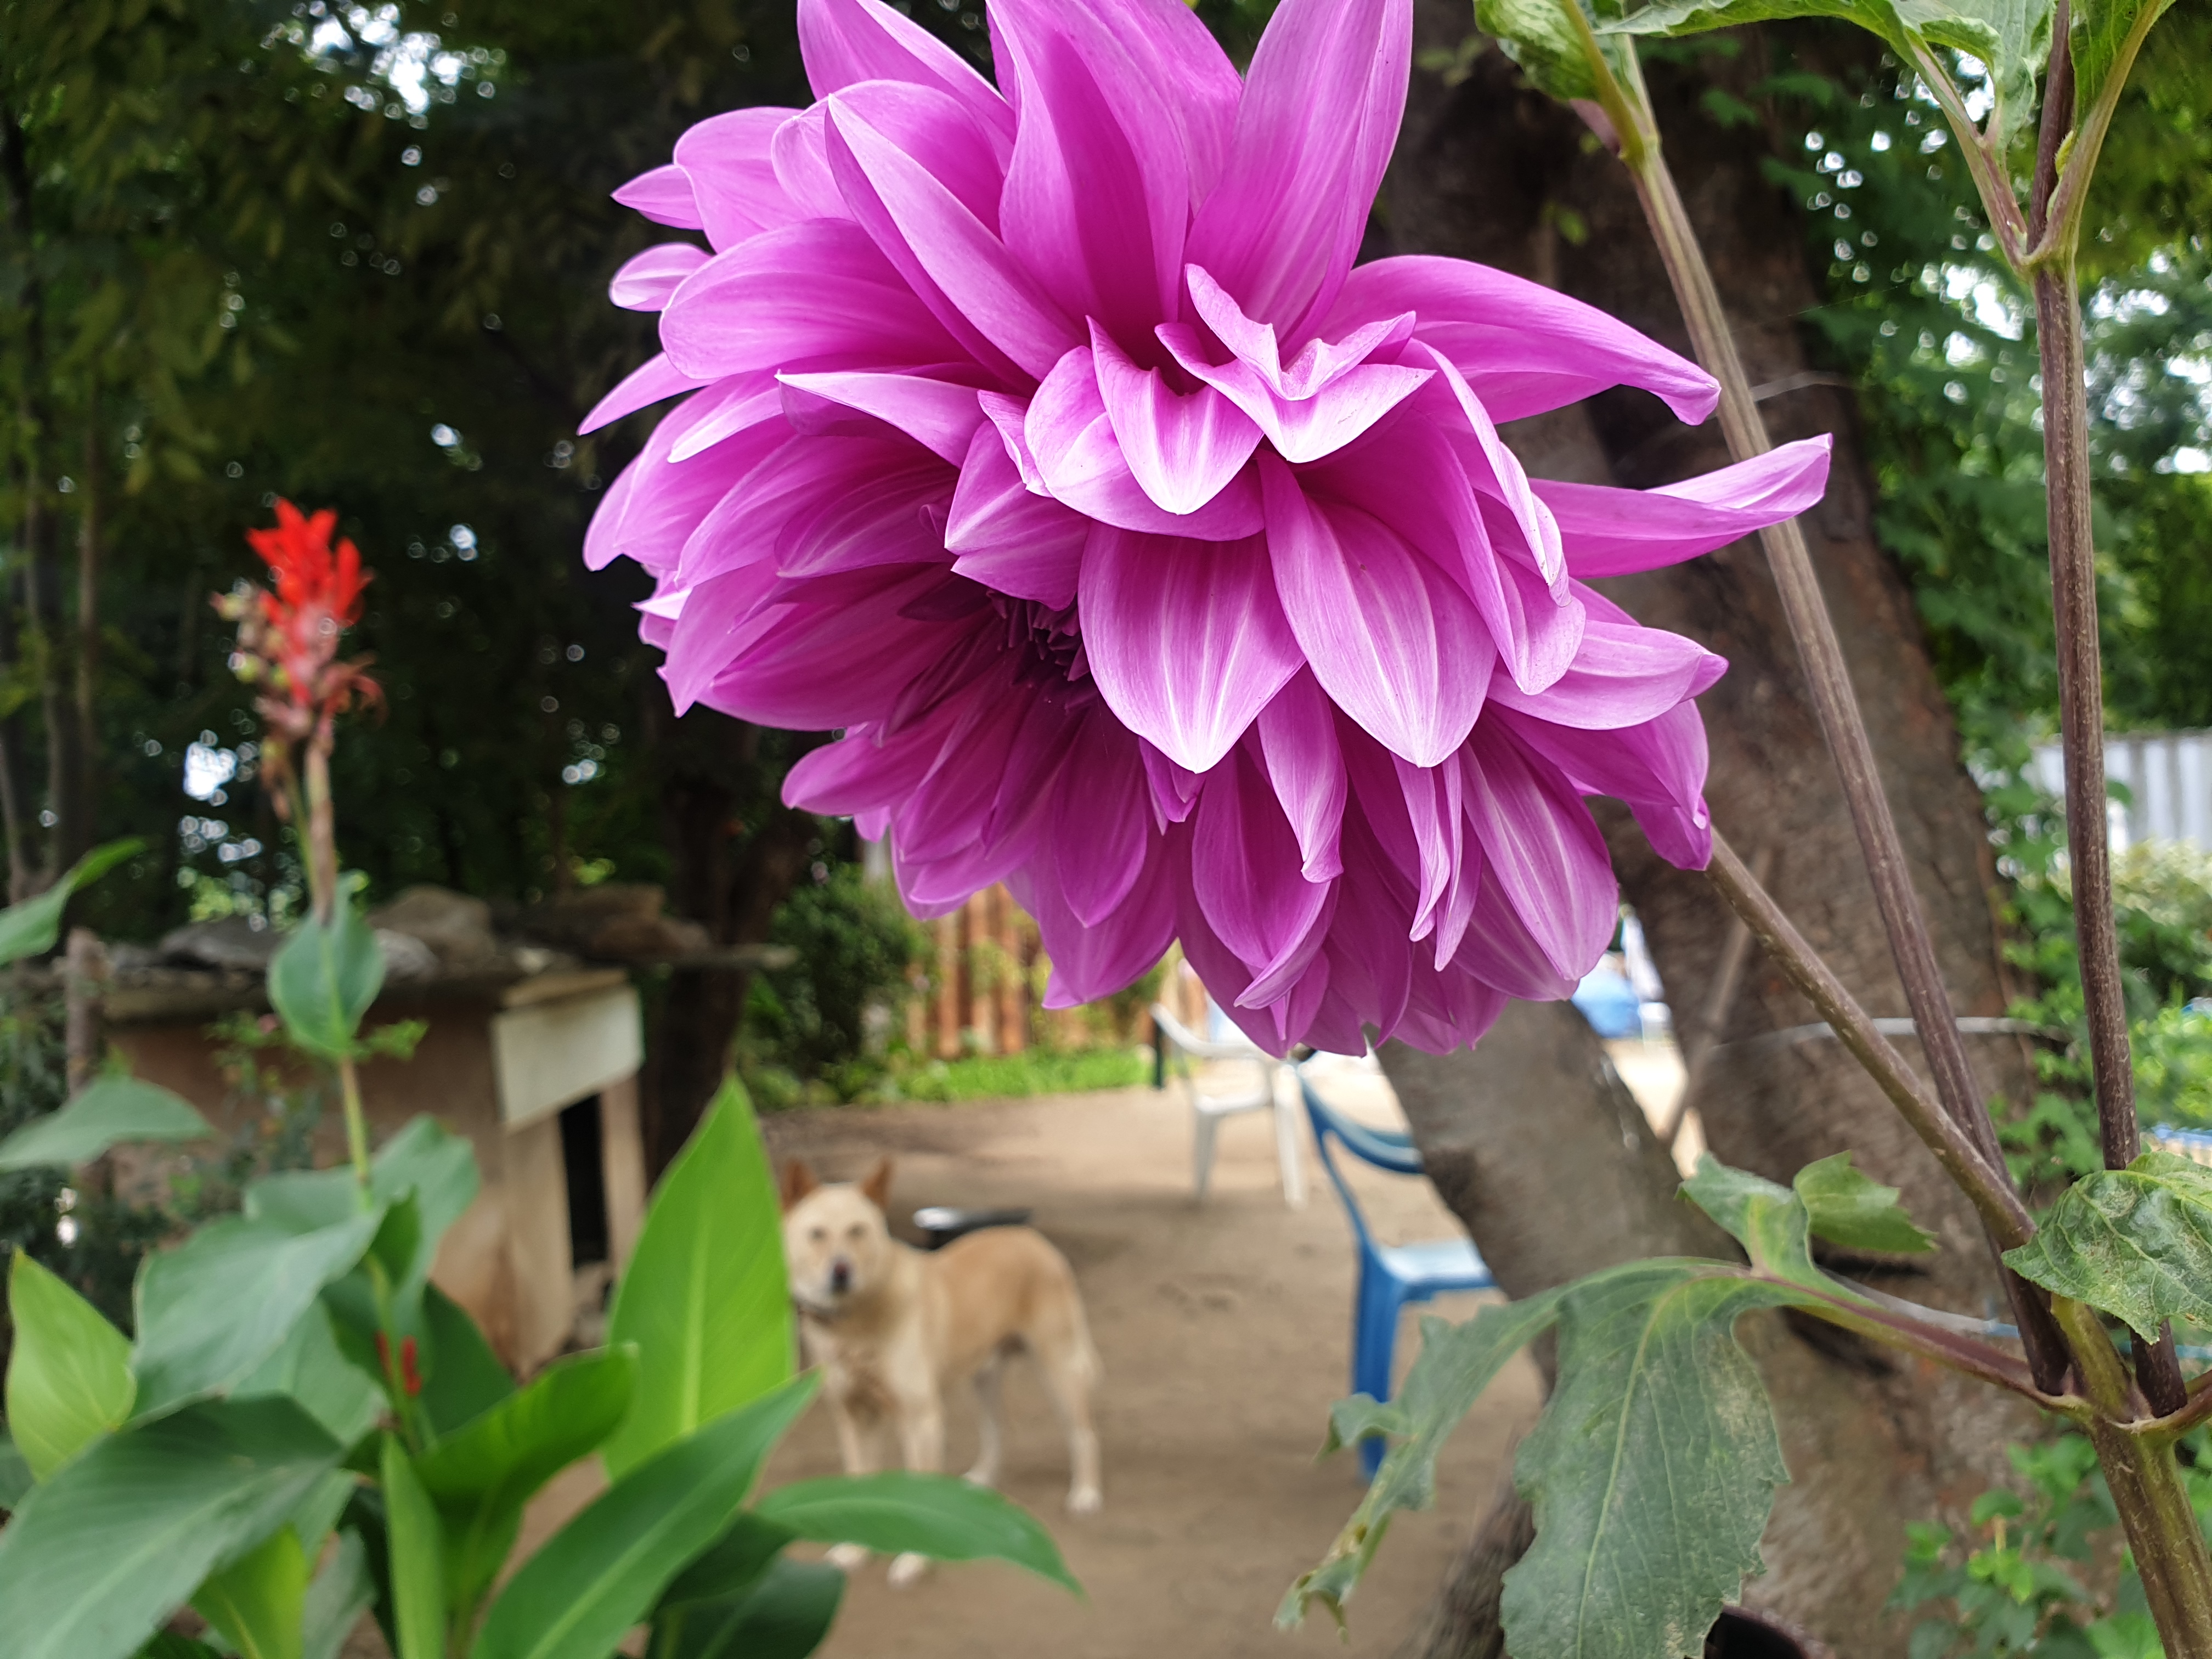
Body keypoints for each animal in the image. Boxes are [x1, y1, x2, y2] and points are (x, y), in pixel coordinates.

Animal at [780, 1155, 1102, 1586]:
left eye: (857, 1231)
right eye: (817, 1234)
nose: (841, 1271)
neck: (857, 1325)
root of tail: (1032, 1238)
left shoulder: (920, 1418)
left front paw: (915, 1560)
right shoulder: (854, 1416)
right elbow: (859, 1481)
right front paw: (855, 1549)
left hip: (1058, 1366)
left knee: (1083, 1435)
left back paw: (1086, 1494)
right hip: (984, 1375)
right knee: (997, 1429)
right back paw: (980, 1483)